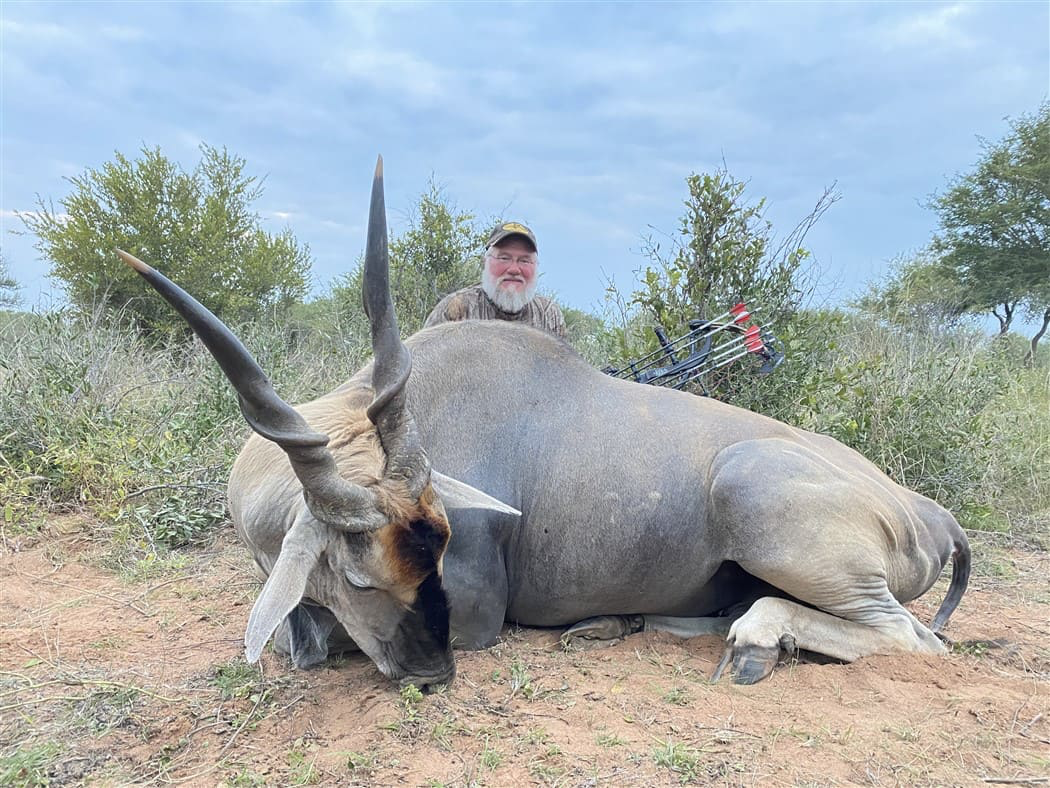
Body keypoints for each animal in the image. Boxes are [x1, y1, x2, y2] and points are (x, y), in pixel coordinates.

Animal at [117, 158, 969, 688]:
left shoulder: (472, 609)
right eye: (358, 575)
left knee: (912, 637)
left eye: (439, 554)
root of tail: (929, 513)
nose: (431, 677)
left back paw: (754, 642)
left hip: (757, 495)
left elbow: (325, 645)